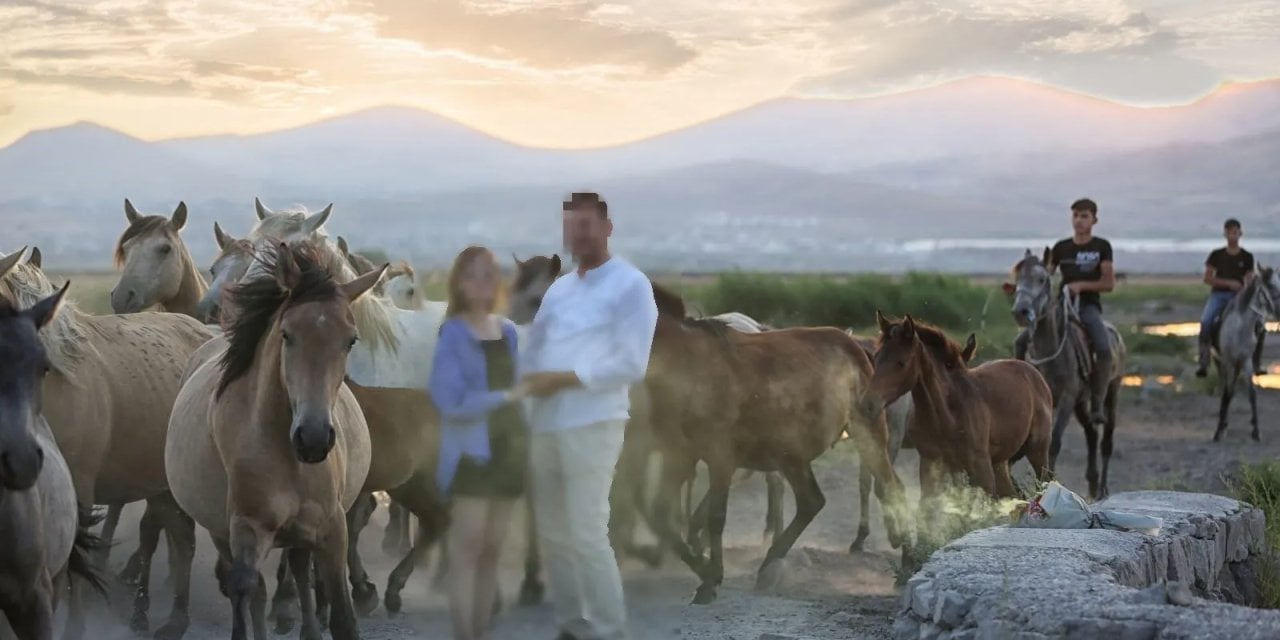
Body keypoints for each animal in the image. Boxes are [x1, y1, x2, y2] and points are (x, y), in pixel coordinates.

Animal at [163, 240, 378, 640]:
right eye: (287, 334)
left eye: (350, 340)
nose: (313, 437)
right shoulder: (247, 529)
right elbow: (245, 591)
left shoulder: (331, 529)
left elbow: (342, 615)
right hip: (222, 531)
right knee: (256, 589)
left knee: (298, 567)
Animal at [645, 282, 906, 601]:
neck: (689, 366)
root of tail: (855, 345)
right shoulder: (681, 454)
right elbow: (660, 515)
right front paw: (704, 571)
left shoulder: (721, 456)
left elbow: (716, 517)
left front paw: (711, 578)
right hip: (791, 455)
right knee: (811, 502)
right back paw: (769, 562)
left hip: (867, 436)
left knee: (890, 488)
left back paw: (907, 563)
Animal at [870, 309, 1049, 499]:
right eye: (875, 358)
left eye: (901, 363)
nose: (869, 402)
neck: (947, 417)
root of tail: (1032, 371)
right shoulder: (931, 465)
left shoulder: (981, 470)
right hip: (1000, 463)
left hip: (1037, 451)